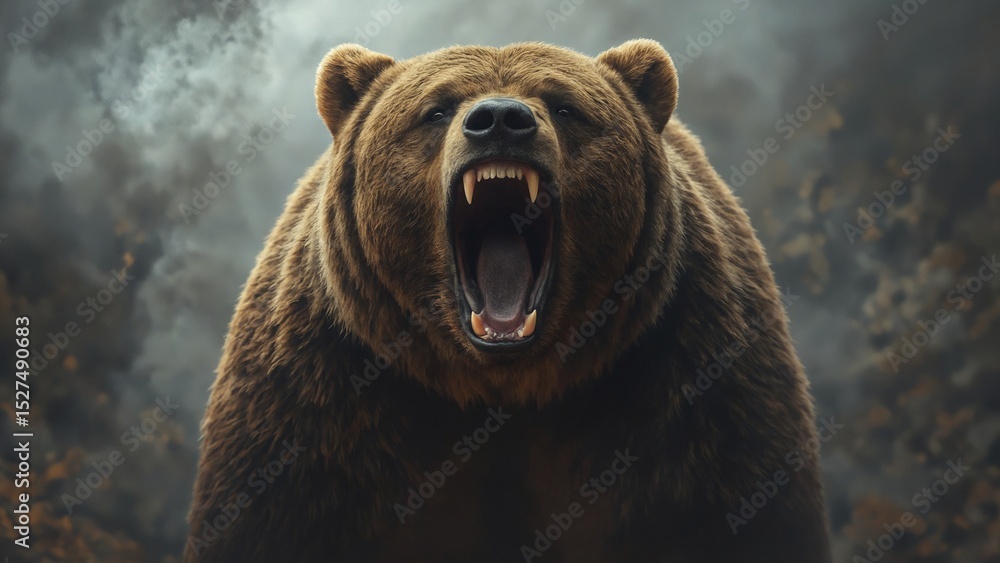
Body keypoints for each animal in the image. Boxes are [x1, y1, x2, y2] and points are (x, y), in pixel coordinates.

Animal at [184, 39, 831, 563]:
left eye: (565, 106)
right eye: (437, 108)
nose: (499, 118)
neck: (504, 383)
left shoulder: (690, 381)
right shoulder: (321, 399)